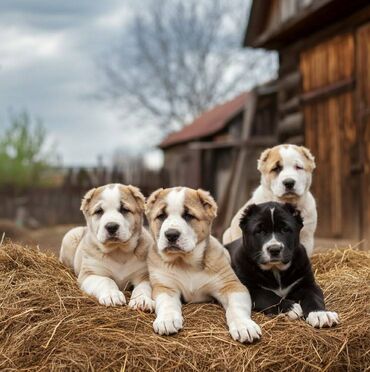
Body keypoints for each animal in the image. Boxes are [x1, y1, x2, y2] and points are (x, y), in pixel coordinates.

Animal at [146, 187, 262, 344]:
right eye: (161, 216)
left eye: (188, 215)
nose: (171, 235)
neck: (186, 263)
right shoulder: (165, 286)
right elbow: (167, 303)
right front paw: (167, 320)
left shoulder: (232, 286)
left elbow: (237, 307)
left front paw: (244, 325)